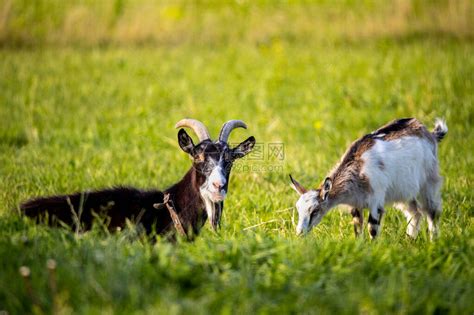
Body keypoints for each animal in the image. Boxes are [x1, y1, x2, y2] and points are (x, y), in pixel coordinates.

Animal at [288, 118, 448, 239]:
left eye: (315, 211)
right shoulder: (355, 204)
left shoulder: (376, 200)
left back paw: (433, 241)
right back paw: (410, 240)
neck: (359, 171)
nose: (300, 233)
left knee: (432, 212)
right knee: (415, 213)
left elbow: (372, 228)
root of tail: (430, 134)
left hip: (429, 180)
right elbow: (358, 227)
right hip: (403, 190)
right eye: (298, 209)